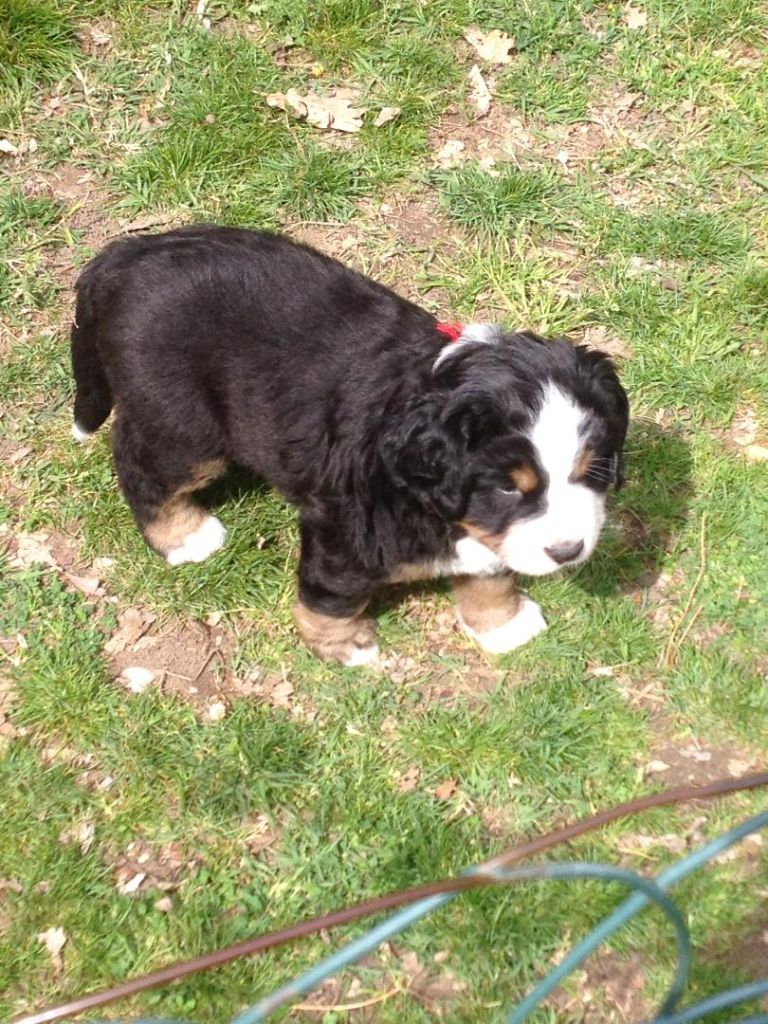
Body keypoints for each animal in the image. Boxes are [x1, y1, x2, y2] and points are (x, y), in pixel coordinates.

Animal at [71, 225, 629, 665]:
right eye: (509, 488)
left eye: (592, 470)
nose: (568, 551)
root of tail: (130, 254)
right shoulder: (347, 527)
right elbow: (332, 593)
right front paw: (344, 645)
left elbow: (489, 570)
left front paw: (503, 623)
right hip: (184, 427)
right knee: (142, 469)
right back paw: (184, 535)